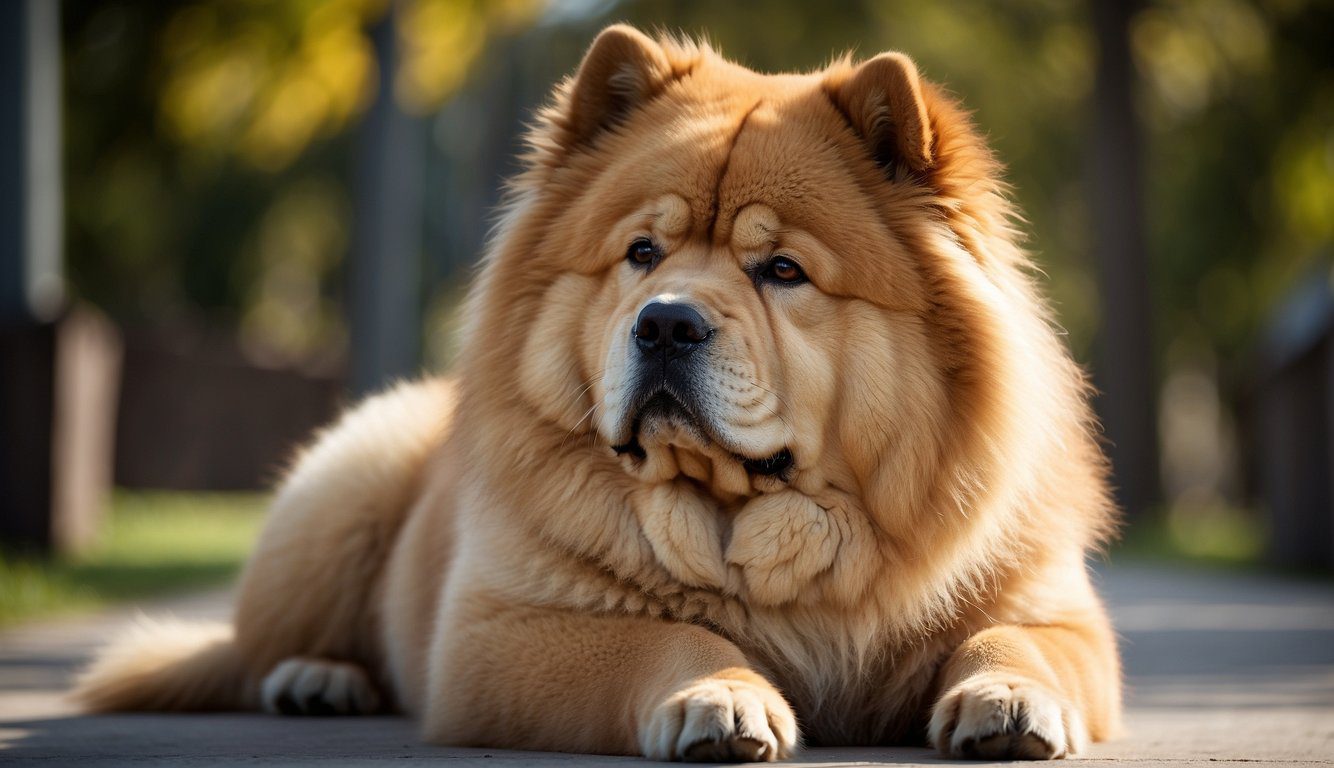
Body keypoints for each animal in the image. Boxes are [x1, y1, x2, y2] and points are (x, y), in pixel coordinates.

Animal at [78, 25, 1120, 762]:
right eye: (643, 253)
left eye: (782, 269)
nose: (664, 323)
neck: (761, 530)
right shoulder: (501, 633)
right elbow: (662, 636)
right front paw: (722, 695)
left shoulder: (1057, 610)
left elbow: (1016, 640)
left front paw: (1008, 701)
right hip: (340, 488)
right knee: (260, 648)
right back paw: (316, 678)